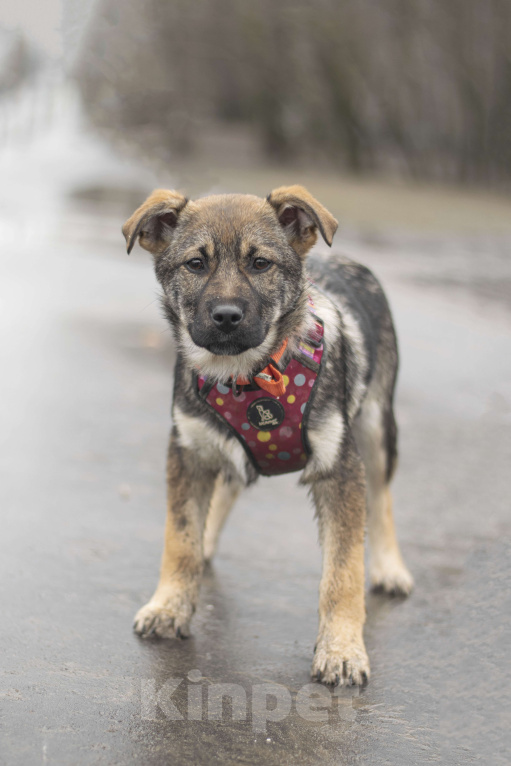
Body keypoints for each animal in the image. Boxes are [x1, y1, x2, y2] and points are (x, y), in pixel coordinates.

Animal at [122, 188, 414, 688]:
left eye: (260, 264)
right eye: (195, 264)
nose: (226, 316)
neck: (249, 377)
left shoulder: (340, 468)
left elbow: (343, 571)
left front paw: (341, 650)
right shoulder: (189, 451)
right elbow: (179, 538)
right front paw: (170, 606)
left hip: (378, 426)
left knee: (383, 497)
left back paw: (390, 567)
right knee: (231, 483)